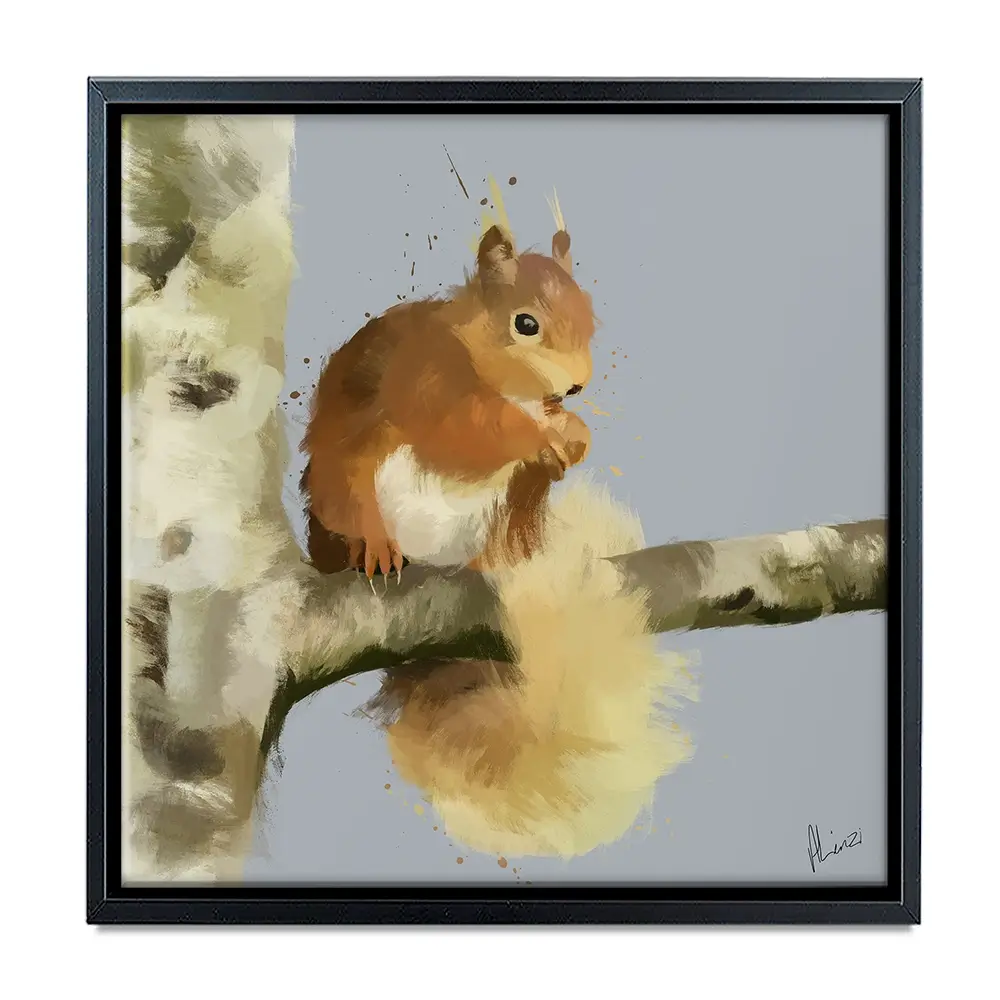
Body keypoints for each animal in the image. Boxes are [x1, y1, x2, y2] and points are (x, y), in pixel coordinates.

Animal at [301, 220, 595, 582]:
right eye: (526, 324)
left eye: (589, 313)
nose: (577, 385)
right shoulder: (428, 384)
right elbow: (464, 434)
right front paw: (539, 439)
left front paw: (577, 435)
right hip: (346, 489)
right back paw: (376, 550)